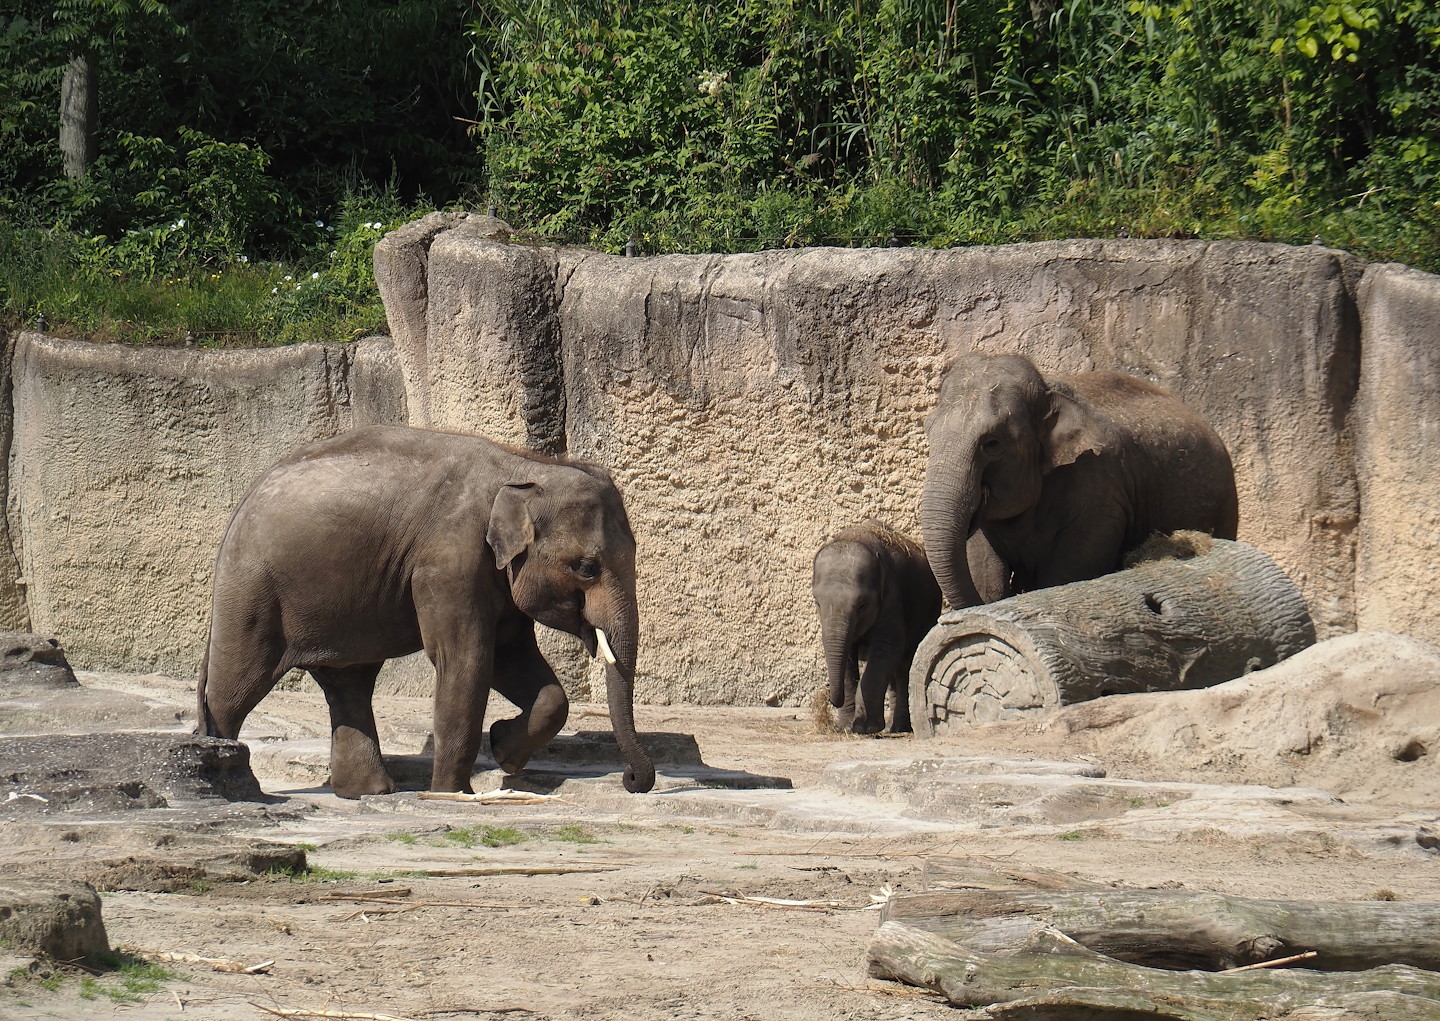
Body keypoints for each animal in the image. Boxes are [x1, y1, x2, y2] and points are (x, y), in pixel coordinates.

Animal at [197, 424, 654, 798]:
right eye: (586, 567)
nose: (632, 780)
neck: (524, 467)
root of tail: (242, 503)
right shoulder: (448, 560)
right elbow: (465, 660)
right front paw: (453, 794)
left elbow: (516, 662)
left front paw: (503, 750)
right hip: (253, 588)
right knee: (235, 685)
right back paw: (226, 777)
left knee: (349, 682)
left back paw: (369, 793)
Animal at [812, 521, 942, 734]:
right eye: (817, 602)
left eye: (862, 605)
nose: (831, 699)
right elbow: (849, 659)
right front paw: (846, 727)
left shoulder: (892, 597)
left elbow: (886, 650)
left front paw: (865, 727)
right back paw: (891, 728)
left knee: (903, 666)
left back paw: (899, 728)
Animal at [921, 352, 1239, 610]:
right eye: (928, 430)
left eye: (993, 443)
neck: (1048, 388)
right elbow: (985, 571)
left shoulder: (1100, 496)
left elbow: (1065, 573)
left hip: (1225, 505)